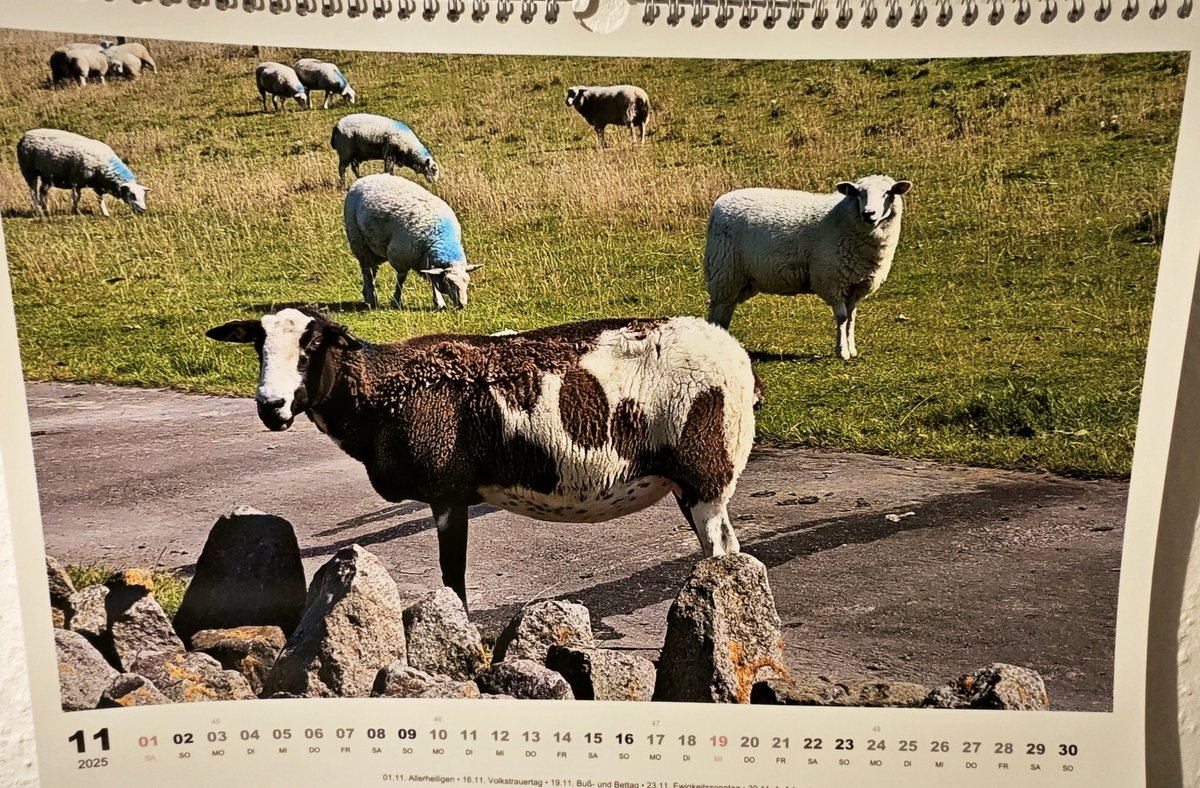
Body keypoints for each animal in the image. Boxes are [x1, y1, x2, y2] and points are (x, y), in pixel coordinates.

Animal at [17, 128, 149, 217]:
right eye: (132, 195)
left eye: (143, 195)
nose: (143, 210)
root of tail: (25, 135)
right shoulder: (76, 181)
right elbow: (76, 197)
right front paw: (75, 212)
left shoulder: (98, 185)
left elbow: (100, 199)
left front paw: (105, 213)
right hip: (29, 170)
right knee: (33, 191)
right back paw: (38, 211)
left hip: (47, 175)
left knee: (42, 192)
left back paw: (45, 211)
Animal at [207, 307, 759, 608]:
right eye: (257, 345)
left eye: (312, 346)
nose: (271, 407)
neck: (383, 393)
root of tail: (733, 352)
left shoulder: (447, 491)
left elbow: (452, 576)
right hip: (690, 482)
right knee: (726, 552)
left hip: (706, 473)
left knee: (721, 554)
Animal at [343, 174, 481, 310]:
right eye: (449, 282)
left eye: (467, 282)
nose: (462, 305)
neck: (438, 238)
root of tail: (365, 178)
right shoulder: (400, 256)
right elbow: (401, 279)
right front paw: (396, 301)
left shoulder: (426, 261)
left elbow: (433, 281)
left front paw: (439, 302)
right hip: (358, 240)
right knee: (368, 271)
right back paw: (372, 298)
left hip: (374, 246)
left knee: (372, 269)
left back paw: (367, 295)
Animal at [703, 174, 913, 360]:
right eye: (858, 193)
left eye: (888, 192)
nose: (869, 214)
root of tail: (720, 203)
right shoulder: (832, 280)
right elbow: (842, 317)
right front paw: (842, 352)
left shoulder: (856, 284)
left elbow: (852, 318)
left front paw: (852, 349)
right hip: (724, 270)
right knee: (718, 308)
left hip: (739, 278)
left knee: (726, 308)